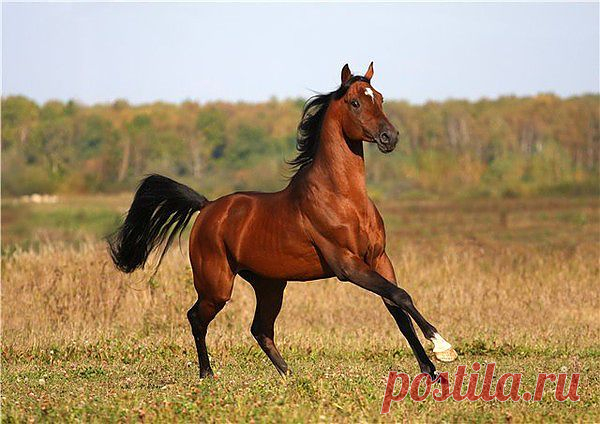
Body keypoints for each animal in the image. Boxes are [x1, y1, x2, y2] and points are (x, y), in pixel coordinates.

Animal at [108, 63, 458, 380]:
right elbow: (401, 296)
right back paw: (208, 375)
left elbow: (398, 307)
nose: (390, 136)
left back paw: (291, 375)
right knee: (197, 318)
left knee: (260, 328)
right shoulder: (348, 265)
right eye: (356, 102)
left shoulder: (379, 259)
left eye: (381, 98)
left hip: (269, 284)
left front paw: (431, 371)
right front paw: (443, 349)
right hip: (216, 286)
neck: (343, 198)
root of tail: (207, 207)